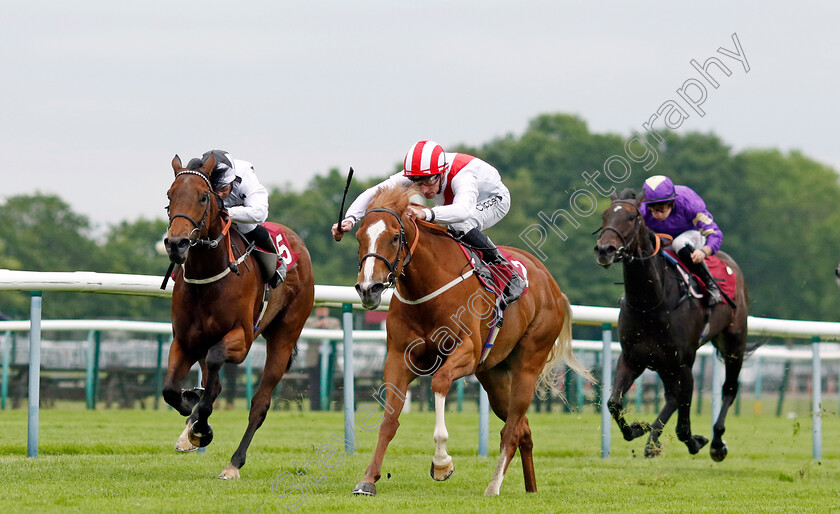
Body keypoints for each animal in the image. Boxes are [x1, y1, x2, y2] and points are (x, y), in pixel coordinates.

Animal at [162, 154, 314, 478]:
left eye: (203, 197)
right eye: (169, 196)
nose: (176, 244)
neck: (208, 276)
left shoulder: (241, 340)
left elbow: (216, 365)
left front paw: (200, 428)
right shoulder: (184, 341)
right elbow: (170, 390)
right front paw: (189, 408)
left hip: (284, 336)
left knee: (259, 403)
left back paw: (234, 462)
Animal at [344, 184, 592, 492]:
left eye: (394, 237)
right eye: (359, 237)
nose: (369, 288)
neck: (429, 288)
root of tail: (554, 288)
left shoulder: (468, 352)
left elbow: (439, 382)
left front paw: (441, 463)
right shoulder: (399, 358)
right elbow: (389, 420)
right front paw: (368, 480)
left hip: (527, 364)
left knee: (512, 429)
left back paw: (493, 487)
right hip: (494, 376)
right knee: (522, 427)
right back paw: (530, 487)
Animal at [592, 189, 748, 460]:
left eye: (632, 217)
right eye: (605, 215)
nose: (604, 249)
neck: (651, 304)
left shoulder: (684, 363)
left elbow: (684, 421)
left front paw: (696, 441)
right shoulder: (632, 358)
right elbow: (614, 403)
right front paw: (638, 428)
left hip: (734, 343)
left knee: (728, 388)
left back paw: (717, 442)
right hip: (664, 363)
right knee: (671, 398)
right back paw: (652, 439)